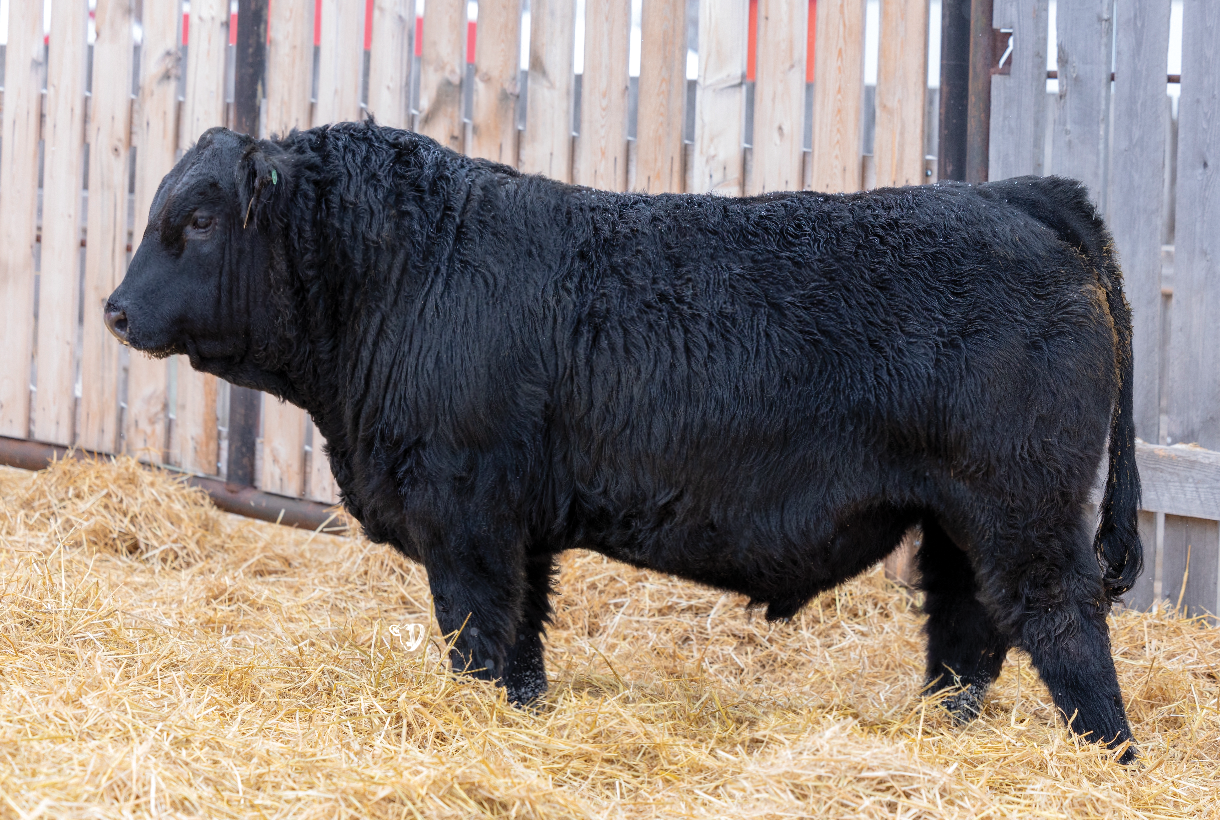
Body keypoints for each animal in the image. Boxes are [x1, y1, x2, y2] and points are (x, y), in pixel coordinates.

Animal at [104, 122, 1143, 762]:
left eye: (197, 219)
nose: (114, 309)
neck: (408, 271)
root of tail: (1016, 193)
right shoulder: (519, 530)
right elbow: (520, 648)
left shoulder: (467, 519)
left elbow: (478, 635)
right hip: (961, 523)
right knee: (967, 636)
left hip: (1024, 510)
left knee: (1063, 626)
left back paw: (1108, 759)